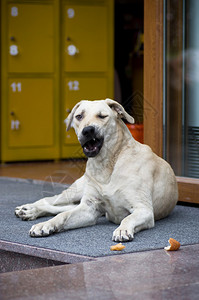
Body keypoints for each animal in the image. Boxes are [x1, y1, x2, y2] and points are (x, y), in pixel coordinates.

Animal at [14, 99, 178, 243]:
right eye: (79, 116)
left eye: (102, 116)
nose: (88, 130)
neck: (107, 164)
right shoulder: (88, 208)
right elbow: (63, 216)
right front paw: (46, 224)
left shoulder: (144, 210)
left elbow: (128, 217)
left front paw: (122, 229)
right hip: (75, 192)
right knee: (51, 202)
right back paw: (30, 209)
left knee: (58, 207)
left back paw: (29, 211)